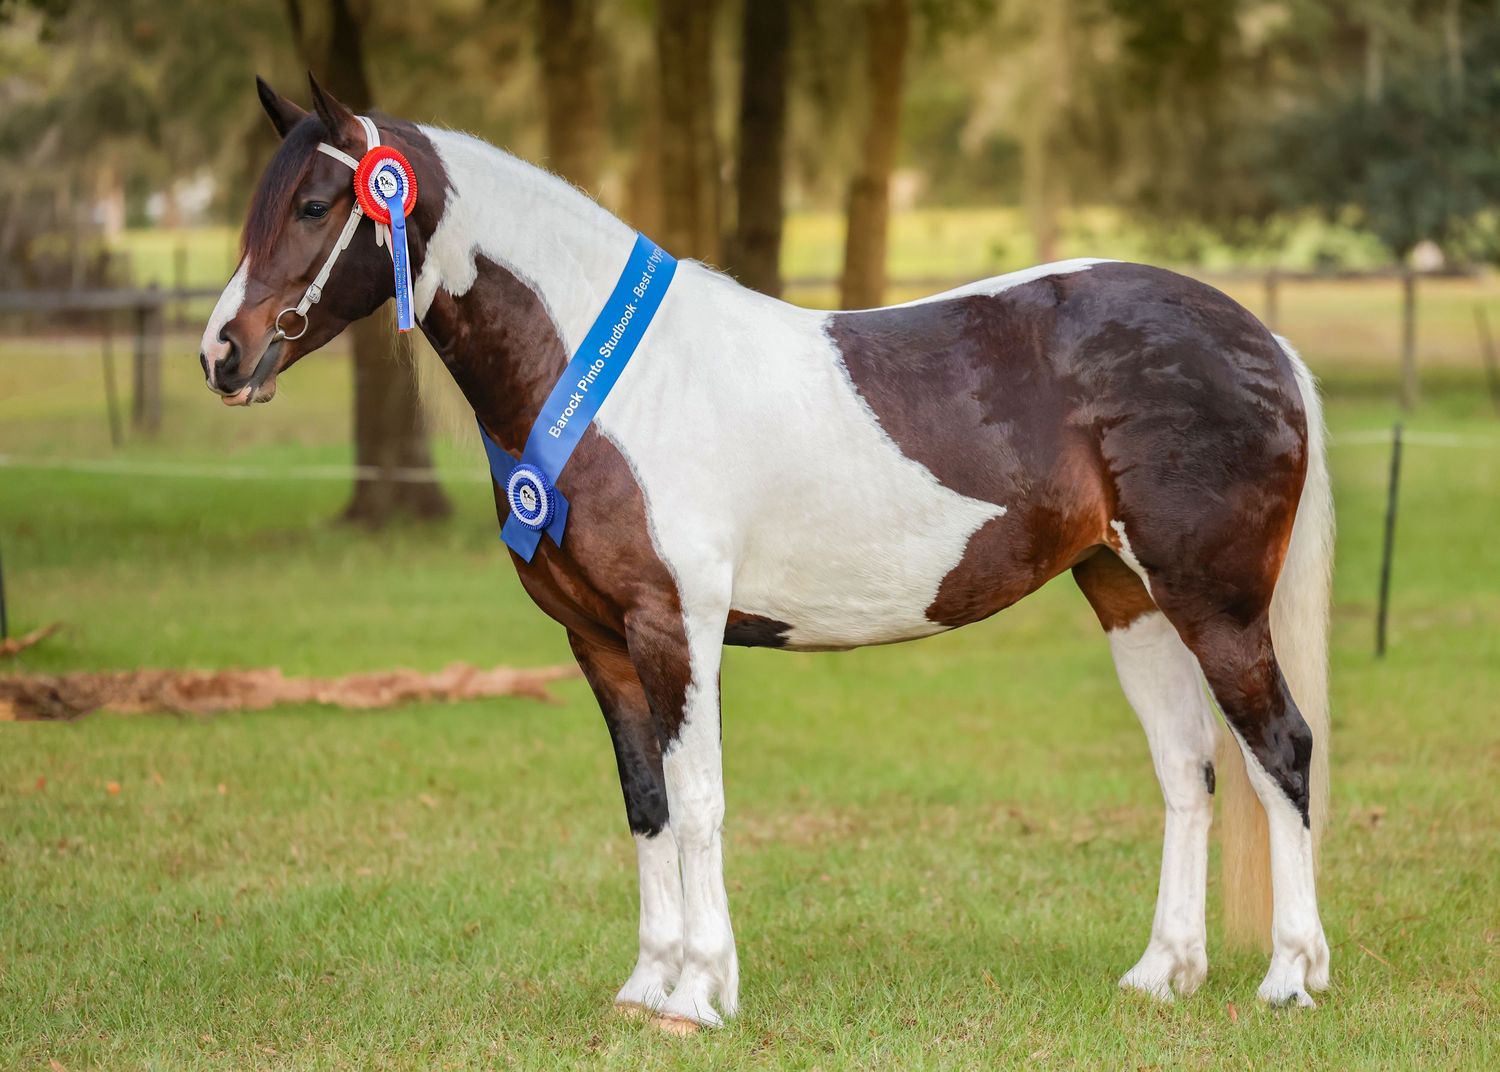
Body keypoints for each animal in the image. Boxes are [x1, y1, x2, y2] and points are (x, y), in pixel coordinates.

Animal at [201, 74, 1332, 1031]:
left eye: (317, 205)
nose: (223, 353)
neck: (618, 379)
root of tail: (1264, 341)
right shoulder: (599, 643)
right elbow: (648, 805)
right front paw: (647, 987)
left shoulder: (678, 627)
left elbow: (699, 802)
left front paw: (703, 993)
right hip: (1128, 595)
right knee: (1186, 767)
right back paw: (1163, 973)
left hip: (1216, 604)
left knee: (1281, 749)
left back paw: (1289, 974)